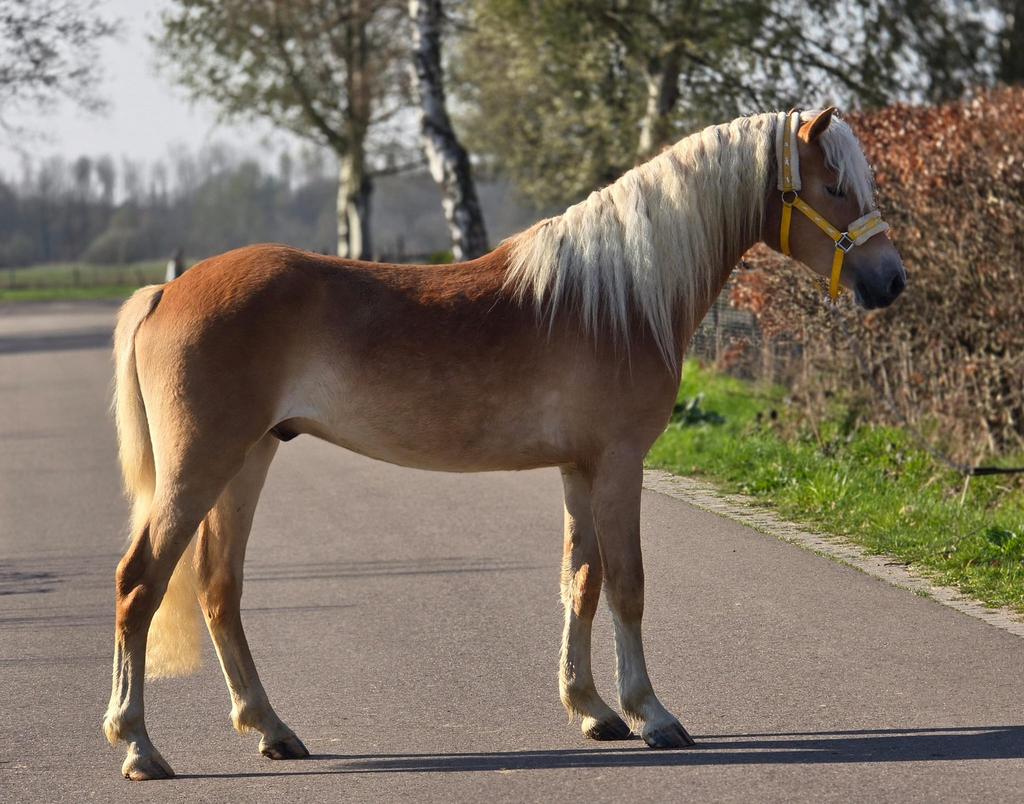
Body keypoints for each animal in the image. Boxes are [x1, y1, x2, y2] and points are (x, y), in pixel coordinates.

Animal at [103, 107, 905, 779]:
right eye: (834, 185)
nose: (891, 282)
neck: (616, 296)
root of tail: (168, 291)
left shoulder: (581, 470)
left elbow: (581, 581)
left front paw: (592, 709)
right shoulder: (620, 464)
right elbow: (629, 584)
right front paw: (652, 714)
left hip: (249, 460)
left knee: (218, 589)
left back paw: (271, 728)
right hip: (200, 467)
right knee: (140, 583)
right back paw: (139, 745)